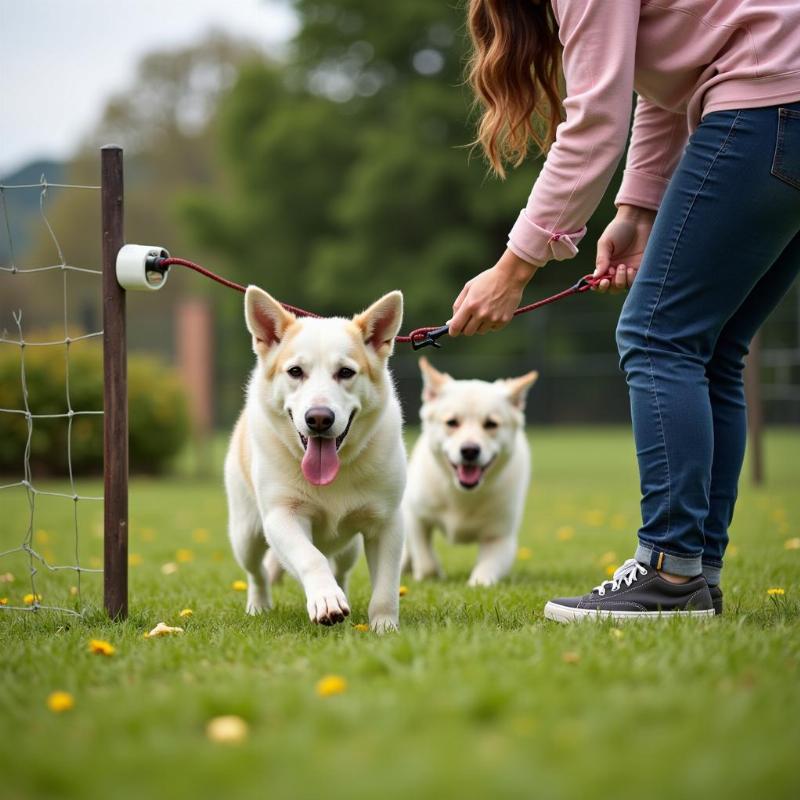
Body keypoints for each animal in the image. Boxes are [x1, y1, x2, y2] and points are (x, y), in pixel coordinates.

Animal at [225, 288, 406, 632]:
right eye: (296, 372)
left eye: (346, 372)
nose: (319, 418)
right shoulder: (282, 516)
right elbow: (310, 558)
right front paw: (325, 600)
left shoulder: (387, 523)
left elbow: (386, 587)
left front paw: (384, 626)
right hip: (246, 535)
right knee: (258, 572)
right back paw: (259, 606)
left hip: (349, 547)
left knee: (341, 569)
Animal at [400, 360, 536, 584]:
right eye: (452, 422)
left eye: (491, 424)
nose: (470, 450)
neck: (462, 495)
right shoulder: (416, 516)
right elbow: (426, 562)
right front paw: (431, 573)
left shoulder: (500, 537)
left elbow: (485, 571)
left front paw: (478, 582)